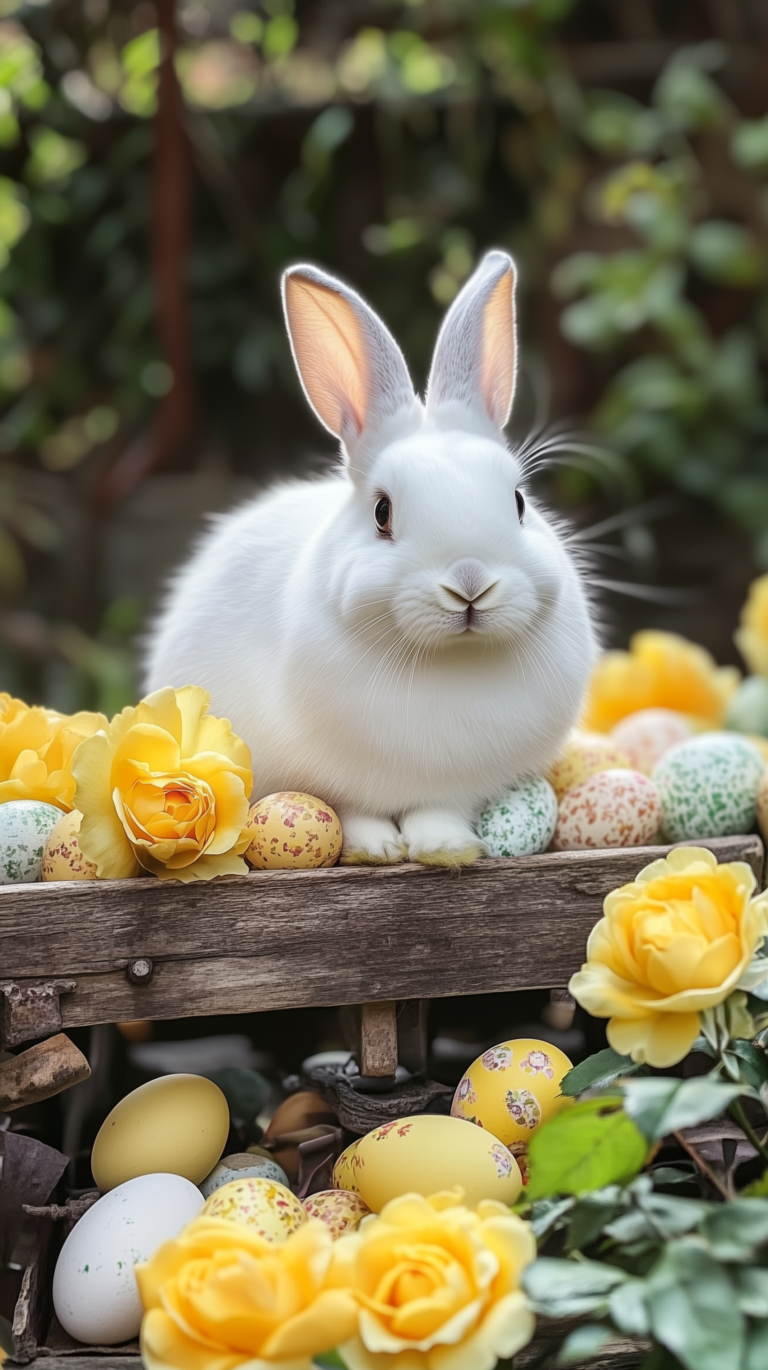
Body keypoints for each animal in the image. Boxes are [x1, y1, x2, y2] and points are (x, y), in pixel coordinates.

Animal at [144, 250, 596, 865]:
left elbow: (441, 810)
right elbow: (354, 812)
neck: (450, 664)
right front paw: (375, 851)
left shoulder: (458, 786)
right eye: (382, 512)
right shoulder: (339, 779)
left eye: (520, 502)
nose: (470, 581)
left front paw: (445, 849)